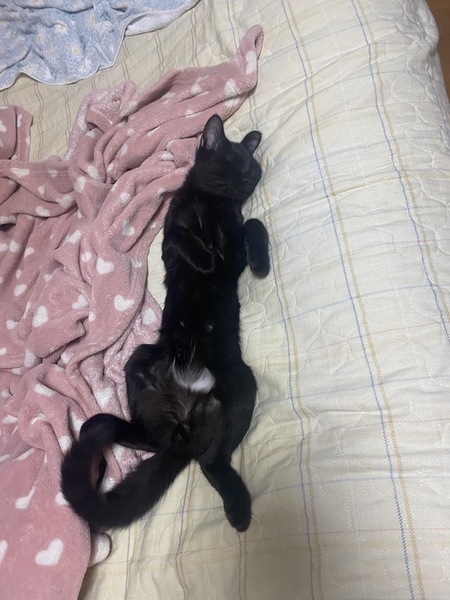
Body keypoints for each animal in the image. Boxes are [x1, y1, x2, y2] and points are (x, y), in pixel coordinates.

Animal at [61, 114, 270, 533]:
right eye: (232, 162)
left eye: (252, 169)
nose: (249, 178)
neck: (212, 206)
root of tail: (183, 424)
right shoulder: (170, 234)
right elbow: (180, 237)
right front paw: (204, 259)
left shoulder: (234, 250)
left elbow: (252, 223)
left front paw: (258, 263)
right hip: (138, 360)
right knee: (157, 442)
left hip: (241, 383)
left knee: (209, 461)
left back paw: (238, 509)